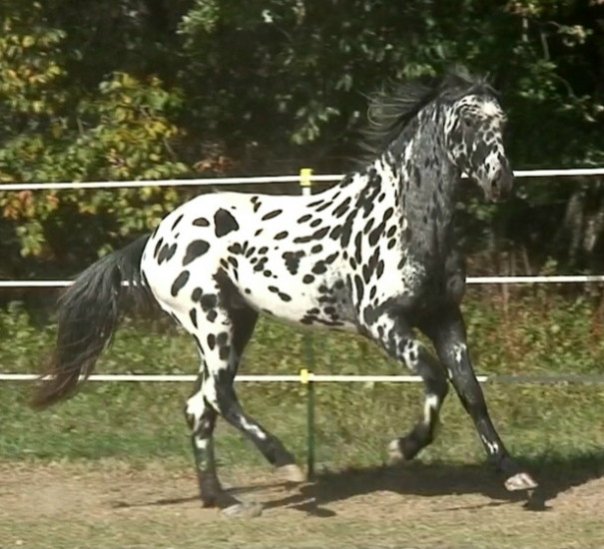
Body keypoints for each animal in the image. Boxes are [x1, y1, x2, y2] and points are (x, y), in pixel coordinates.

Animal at [30, 68, 536, 512]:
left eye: (503, 121)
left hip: (234, 324)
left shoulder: (445, 316)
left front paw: (513, 474)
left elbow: (470, 390)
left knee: (200, 404)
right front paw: (402, 448)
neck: (406, 217)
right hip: (212, 321)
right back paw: (286, 465)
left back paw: (222, 499)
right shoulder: (383, 321)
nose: (501, 183)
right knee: (219, 395)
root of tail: (156, 237)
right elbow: (435, 378)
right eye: (468, 120)